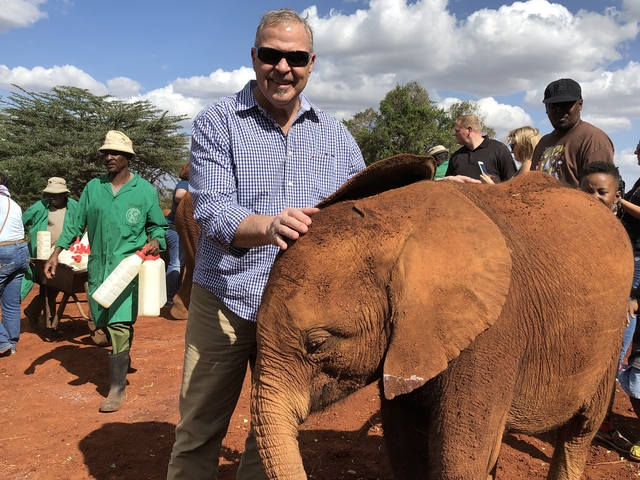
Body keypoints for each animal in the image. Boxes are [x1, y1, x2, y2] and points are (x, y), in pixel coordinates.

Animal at [251, 156, 634, 480]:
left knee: (579, 432)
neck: (401, 222)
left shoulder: (494, 332)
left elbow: (458, 460)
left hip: (612, 338)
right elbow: (405, 447)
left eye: (318, 344)